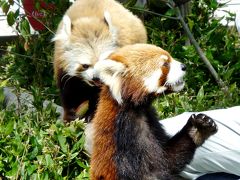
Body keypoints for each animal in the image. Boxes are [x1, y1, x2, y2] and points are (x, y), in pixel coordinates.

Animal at [89, 43, 218, 179]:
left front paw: (198, 128)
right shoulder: (120, 146)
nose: (184, 66)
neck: (136, 111)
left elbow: (169, 159)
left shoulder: (152, 123)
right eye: (165, 64)